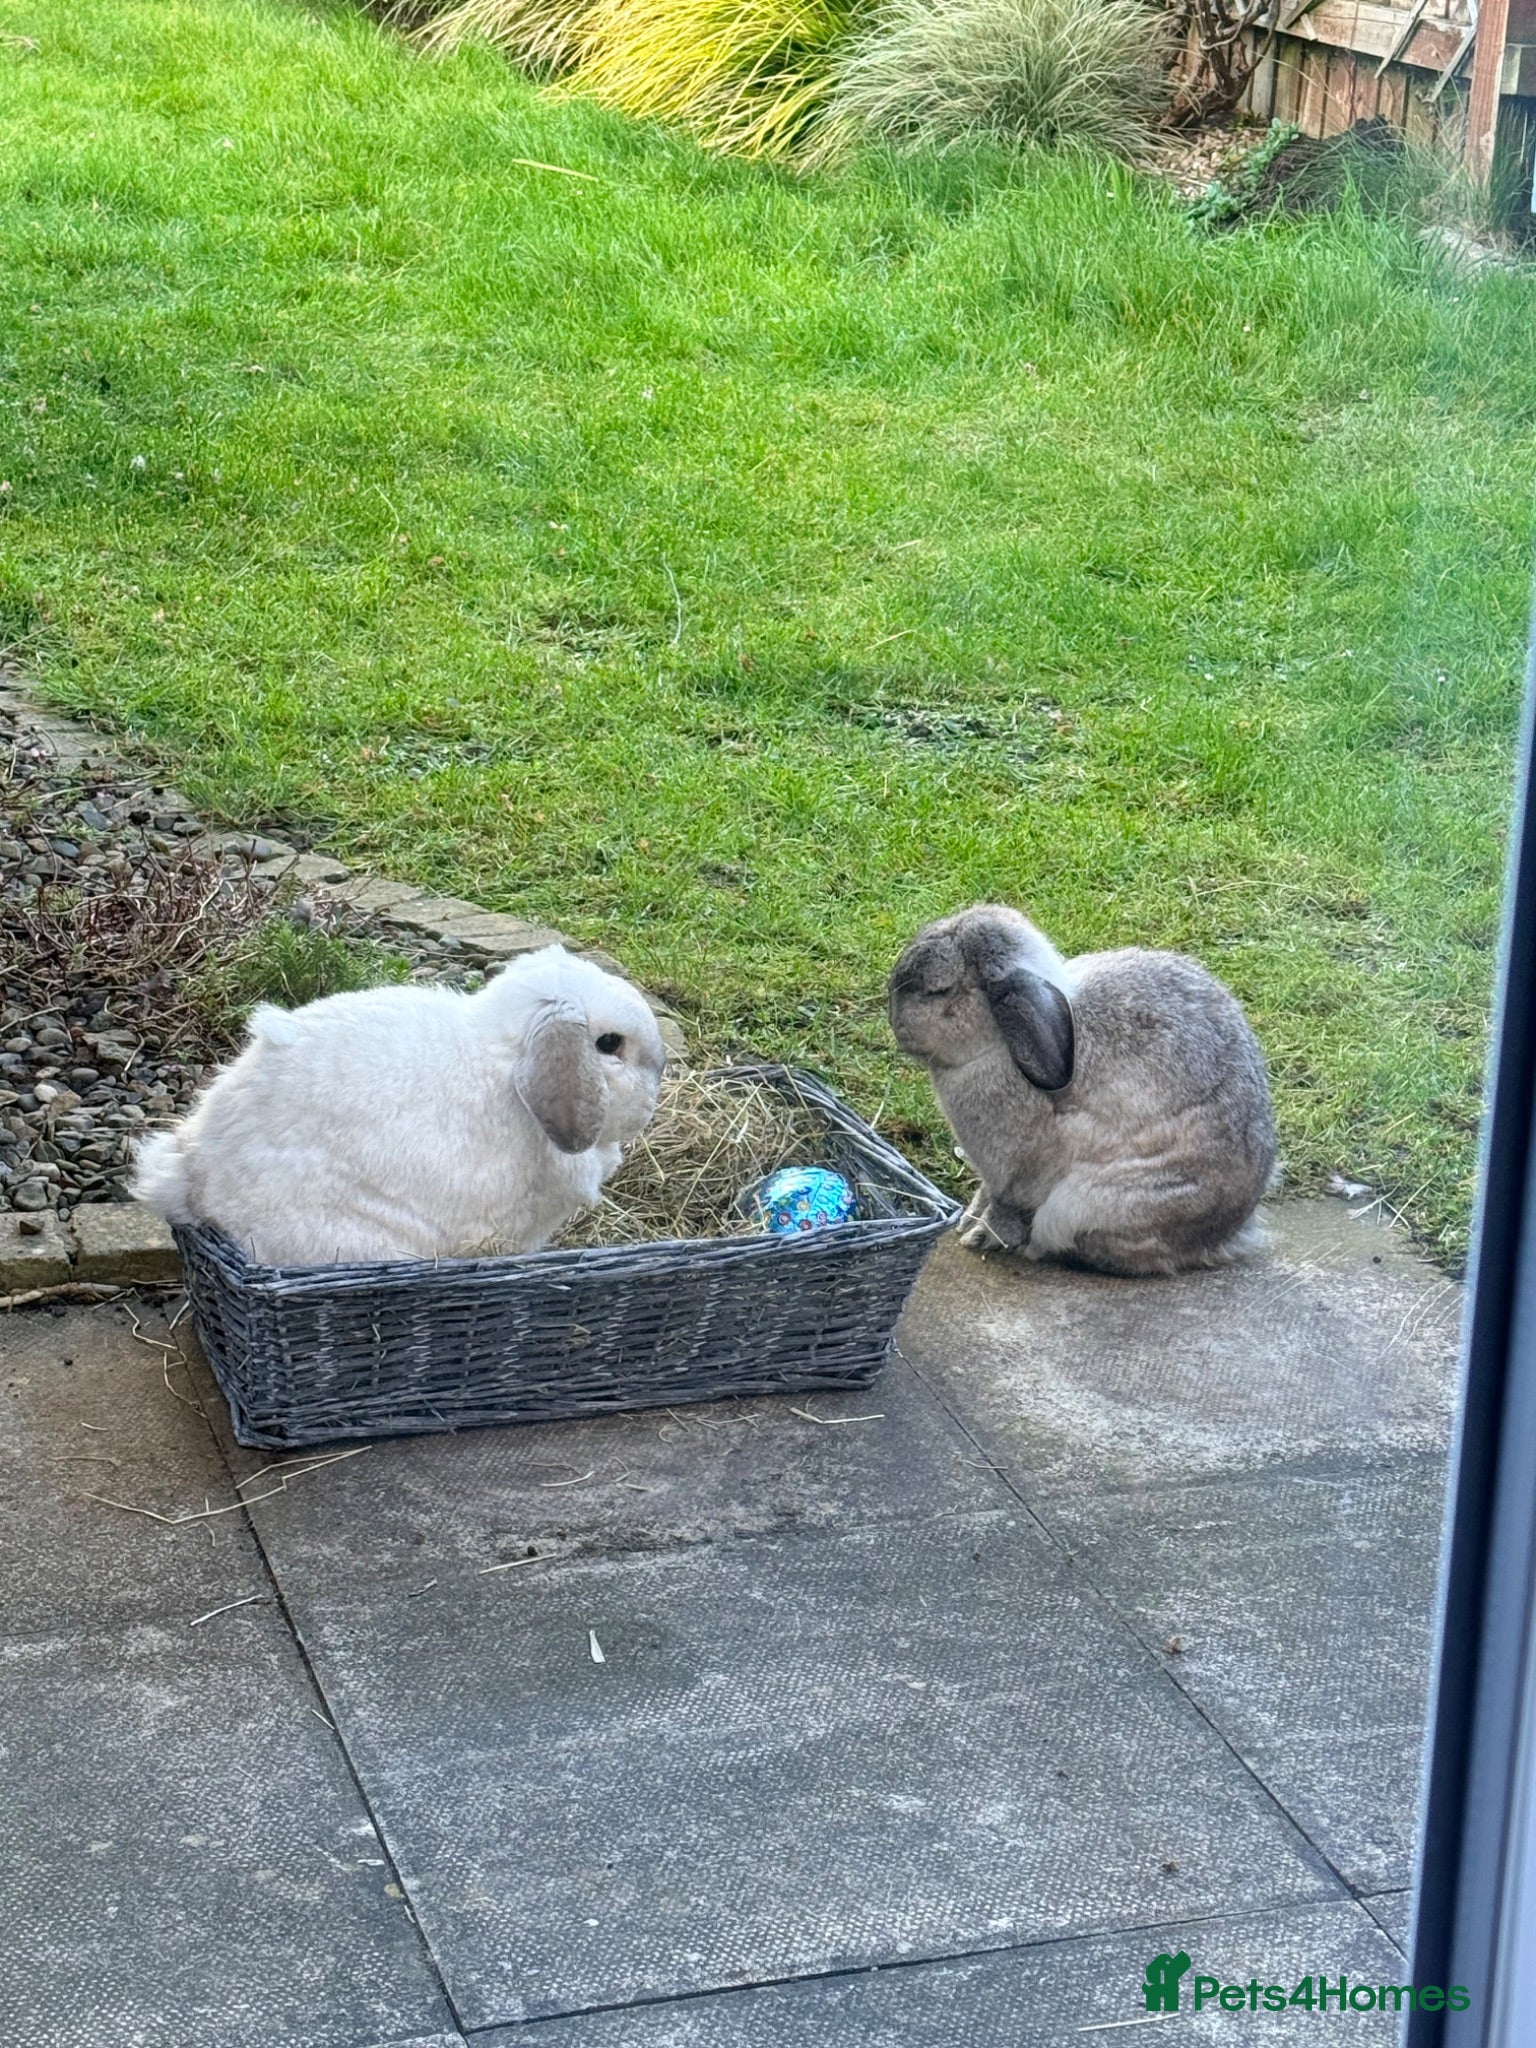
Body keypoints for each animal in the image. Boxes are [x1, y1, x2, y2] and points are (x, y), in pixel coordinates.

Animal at [888, 904, 1277, 1276]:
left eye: (939, 990)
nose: (893, 1022)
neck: (1001, 1041)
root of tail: (1227, 1233)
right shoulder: (993, 1178)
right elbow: (984, 1196)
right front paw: (967, 1222)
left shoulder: (1017, 1176)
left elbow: (1006, 1210)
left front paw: (978, 1238)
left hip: (1090, 1207)